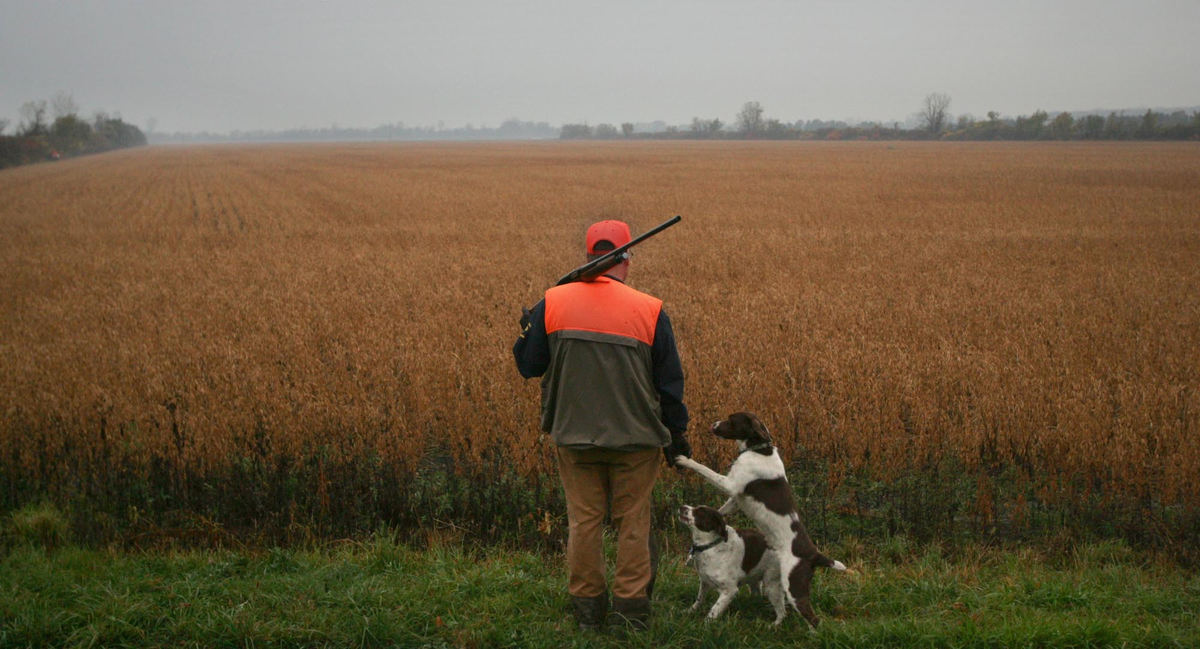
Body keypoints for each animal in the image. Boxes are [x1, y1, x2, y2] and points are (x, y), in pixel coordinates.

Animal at [676, 410, 854, 628]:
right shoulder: (736, 497)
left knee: (812, 618)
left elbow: (704, 469)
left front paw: (685, 460)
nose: (713, 424)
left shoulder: (730, 484)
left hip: (793, 587)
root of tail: (814, 554)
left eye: (731, 420)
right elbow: (722, 511)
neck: (760, 450)